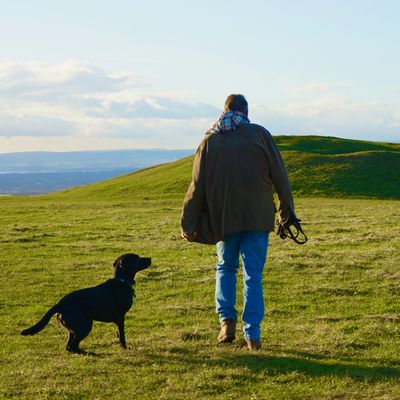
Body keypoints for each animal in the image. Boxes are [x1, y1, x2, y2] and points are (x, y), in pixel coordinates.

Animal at [19, 253, 150, 354]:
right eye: (137, 258)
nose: (150, 258)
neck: (121, 281)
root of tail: (60, 305)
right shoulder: (120, 317)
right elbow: (122, 334)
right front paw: (125, 347)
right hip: (85, 325)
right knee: (72, 346)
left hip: (73, 329)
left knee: (69, 346)